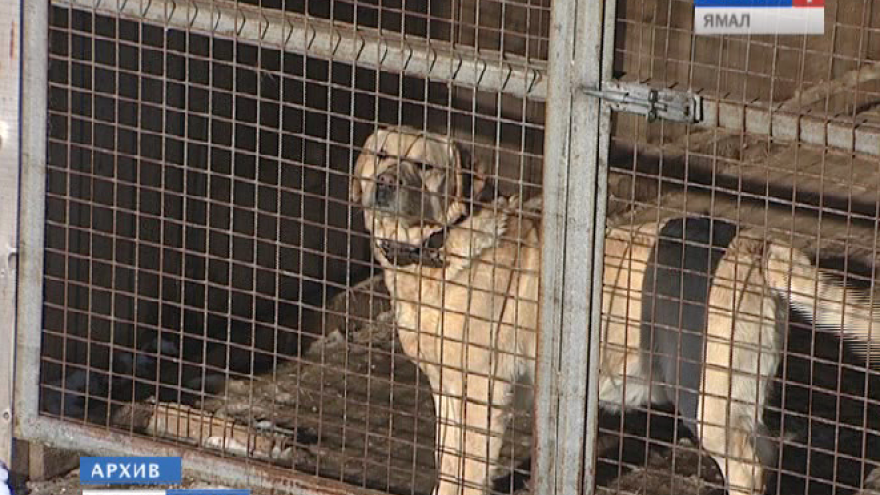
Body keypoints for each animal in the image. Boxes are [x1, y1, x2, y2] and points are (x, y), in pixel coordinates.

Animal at [350, 127, 880, 495]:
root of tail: (756, 244)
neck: (433, 251)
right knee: (764, 453)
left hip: (705, 393)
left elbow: (468, 469)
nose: (385, 183)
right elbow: (449, 462)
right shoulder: (448, 390)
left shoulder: (482, 392)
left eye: (425, 166)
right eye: (382, 155)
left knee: (748, 466)